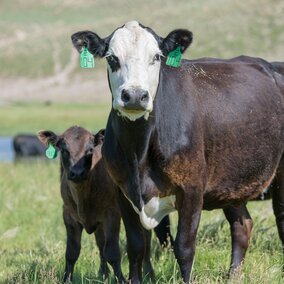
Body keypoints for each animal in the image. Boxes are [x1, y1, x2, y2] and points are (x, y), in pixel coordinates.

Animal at [36, 127, 172, 284]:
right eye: (64, 150)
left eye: (89, 150)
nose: (77, 173)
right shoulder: (68, 215)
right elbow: (72, 252)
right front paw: (66, 279)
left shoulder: (111, 214)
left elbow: (112, 252)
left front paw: (121, 279)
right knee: (101, 243)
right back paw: (104, 274)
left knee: (146, 238)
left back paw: (149, 274)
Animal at [71, 20, 284, 284]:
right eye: (112, 58)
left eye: (156, 57)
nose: (135, 95)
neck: (139, 153)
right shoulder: (123, 192)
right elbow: (136, 247)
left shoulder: (191, 189)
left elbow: (184, 247)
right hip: (231, 181)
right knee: (242, 226)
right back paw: (233, 276)